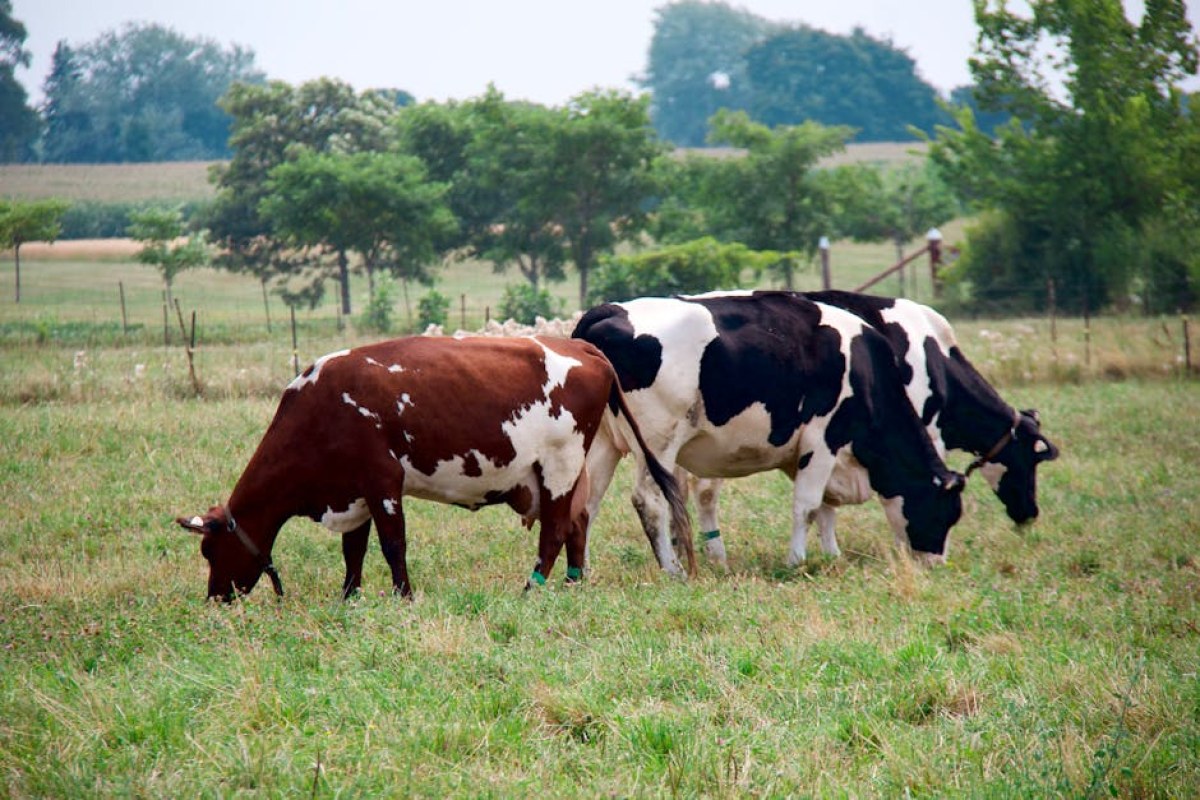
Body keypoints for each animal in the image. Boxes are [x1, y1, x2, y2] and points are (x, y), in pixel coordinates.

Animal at [176, 335, 693, 601]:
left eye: (209, 551)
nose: (216, 598)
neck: (321, 407)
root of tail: (582, 346)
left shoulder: (382, 481)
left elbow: (392, 545)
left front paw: (403, 596)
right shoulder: (354, 491)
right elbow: (353, 551)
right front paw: (349, 598)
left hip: (560, 464)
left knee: (555, 530)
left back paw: (532, 588)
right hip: (570, 472)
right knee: (578, 524)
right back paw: (573, 582)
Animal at [572, 291, 967, 572]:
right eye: (946, 512)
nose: (936, 563)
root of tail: (604, 311)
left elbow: (826, 507)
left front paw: (831, 555)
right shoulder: (824, 438)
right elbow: (808, 505)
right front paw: (797, 561)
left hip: (604, 441)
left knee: (588, 499)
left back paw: (584, 570)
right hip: (658, 443)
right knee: (649, 501)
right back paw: (672, 569)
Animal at [689, 291, 1061, 567]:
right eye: (1031, 461)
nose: (1030, 513)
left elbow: (826, 505)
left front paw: (831, 554)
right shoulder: (921, 430)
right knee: (706, 493)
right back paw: (716, 556)